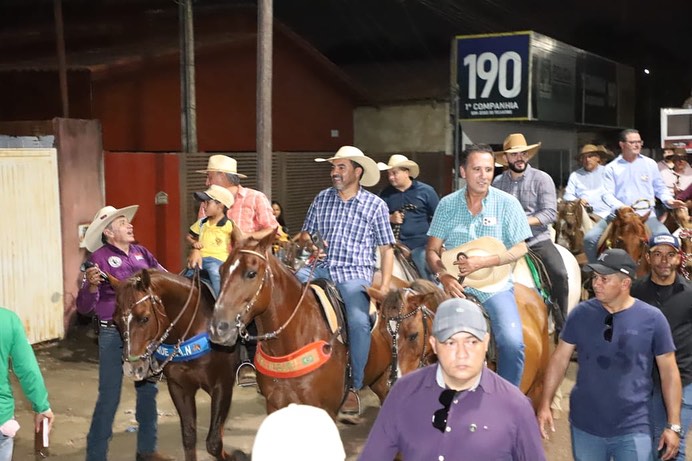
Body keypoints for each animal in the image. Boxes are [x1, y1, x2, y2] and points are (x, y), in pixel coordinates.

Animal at [112, 270, 242, 460]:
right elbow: (189, 437)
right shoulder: (180, 388)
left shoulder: (222, 385)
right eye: (115, 321)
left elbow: (214, 443)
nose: (131, 369)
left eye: (145, 318)